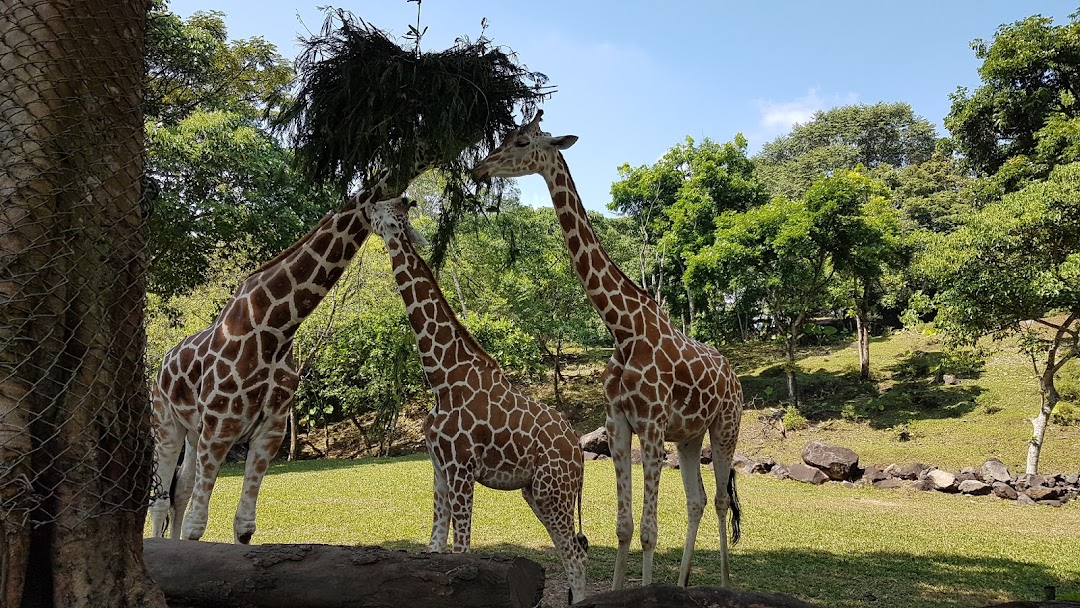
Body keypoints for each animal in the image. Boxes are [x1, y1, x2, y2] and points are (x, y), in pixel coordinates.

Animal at [147, 172, 401, 546]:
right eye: (392, 206)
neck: (277, 329)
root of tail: (161, 366)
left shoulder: (271, 430)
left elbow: (244, 526)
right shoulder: (220, 427)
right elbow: (197, 526)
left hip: (193, 432)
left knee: (179, 493)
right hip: (166, 424)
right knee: (160, 500)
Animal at [371, 197, 591, 604]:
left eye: (384, 210)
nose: (365, 206)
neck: (442, 377)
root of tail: (579, 451)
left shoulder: (461, 467)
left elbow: (462, 550)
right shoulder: (439, 467)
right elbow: (435, 547)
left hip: (553, 491)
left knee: (575, 555)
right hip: (536, 492)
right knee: (571, 550)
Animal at [473, 111, 743, 591]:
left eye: (522, 141)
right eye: (505, 136)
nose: (478, 169)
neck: (623, 328)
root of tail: (735, 376)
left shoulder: (651, 426)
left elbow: (650, 531)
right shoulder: (619, 423)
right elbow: (624, 526)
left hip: (725, 427)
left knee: (720, 502)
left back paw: (725, 587)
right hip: (689, 436)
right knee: (696, 500)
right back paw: (681, 585)